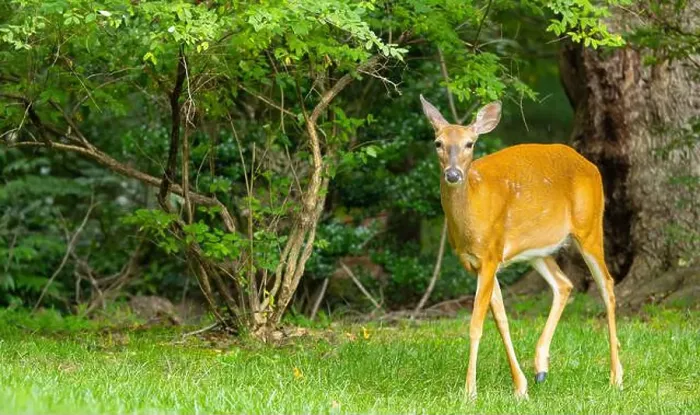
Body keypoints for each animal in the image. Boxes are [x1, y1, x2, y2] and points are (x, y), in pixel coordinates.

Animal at [419, 95, 623, 399]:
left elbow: (476, 324)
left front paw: (470, 391)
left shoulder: (490, 254)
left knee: (607, 284)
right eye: (438, 143)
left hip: (589, 226)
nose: (453, 174)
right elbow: (501, 320)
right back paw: (541, 368)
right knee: (563, 284)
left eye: (470, 143)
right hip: (536, 249)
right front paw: (520, 387)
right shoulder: (478, 262)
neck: (472, 212)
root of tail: (591, 165)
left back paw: (616, 376)